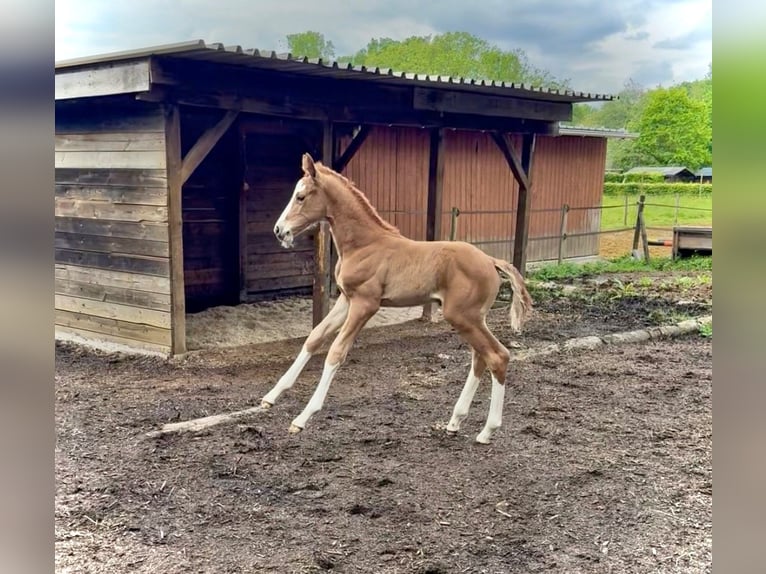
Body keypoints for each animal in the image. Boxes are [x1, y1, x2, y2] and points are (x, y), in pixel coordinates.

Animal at [261, 153, 533, 444]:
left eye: (300, 197)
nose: (279, 230)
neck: (364, 245)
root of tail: (491, 260)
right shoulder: (346, 300)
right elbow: (314, 338)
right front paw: (270, 397)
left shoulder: (365, 305)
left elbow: (335, 352)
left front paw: (302, 418)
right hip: (472, 319)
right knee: (480, 358)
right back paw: (455, 421)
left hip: (464, 317)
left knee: (497, 356)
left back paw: (487, 430)